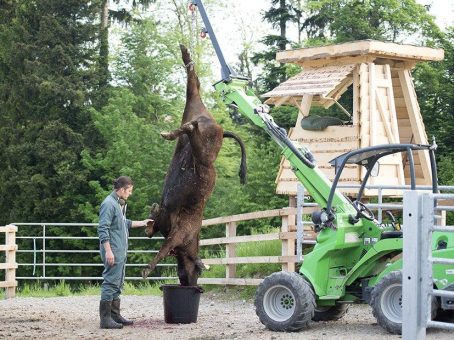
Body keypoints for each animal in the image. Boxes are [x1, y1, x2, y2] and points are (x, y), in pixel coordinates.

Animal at [143, 43, 247, 286]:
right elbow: (161, 242)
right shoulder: (177, 232)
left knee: (193, 98)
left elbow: (162, 244)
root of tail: (216, 125)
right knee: (192, 103)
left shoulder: (177, 233)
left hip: (197, 133)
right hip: (200, 139)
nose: (191, 283)